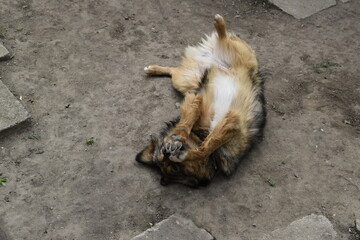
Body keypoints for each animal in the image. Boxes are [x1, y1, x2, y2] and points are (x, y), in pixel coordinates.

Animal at [136, 14, 266, 188]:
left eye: (176, 168)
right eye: (163, 157)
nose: (167, 151)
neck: (201, 134)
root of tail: (212, 57)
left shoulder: (233, 120)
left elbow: (207, 146)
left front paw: (181, 143)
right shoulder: (197, 97)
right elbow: (188, 121)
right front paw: (179, 136)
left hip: (244, 55)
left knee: (226, 38)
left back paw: (220, 24)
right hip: (184, 81)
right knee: (173, 71)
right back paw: (153, 69)